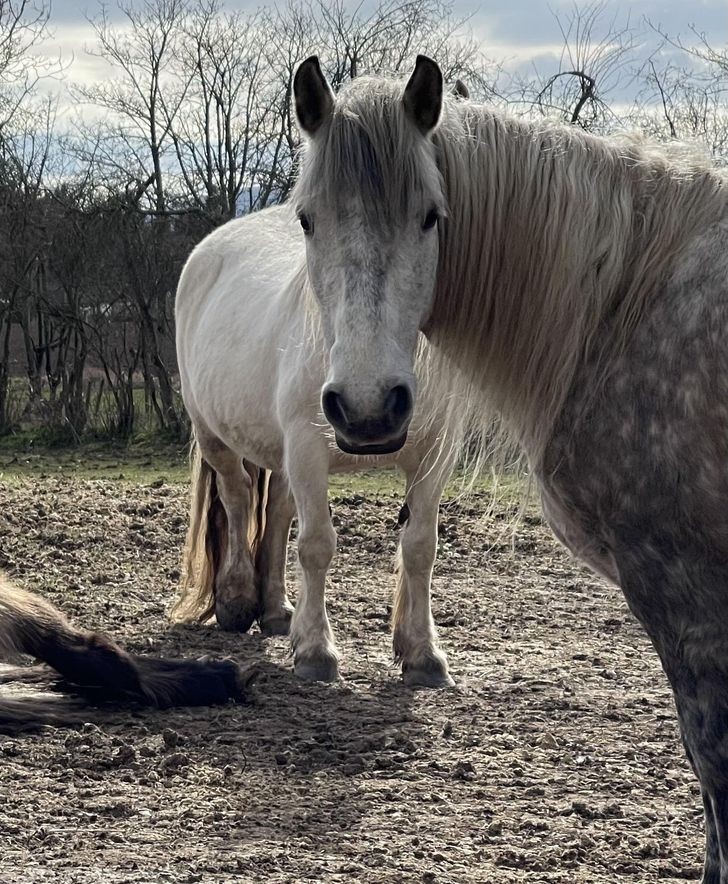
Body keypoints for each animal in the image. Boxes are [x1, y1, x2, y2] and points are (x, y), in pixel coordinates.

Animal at [172, 209, 456, 692]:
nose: (369, 410)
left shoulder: (433, 456)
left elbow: (420, 548)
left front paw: (422, 655)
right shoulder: (308, 448)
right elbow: (317, 545)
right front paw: (316, 652)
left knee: (278, 510)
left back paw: (275, 610)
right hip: (215, 436)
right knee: (237, 497)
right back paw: (237, 599)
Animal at [292, 57, 728, 884]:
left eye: (432, 216)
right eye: (305, 218)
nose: (366, 408)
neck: (626, 301)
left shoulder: (686, 589)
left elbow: (713, 762)